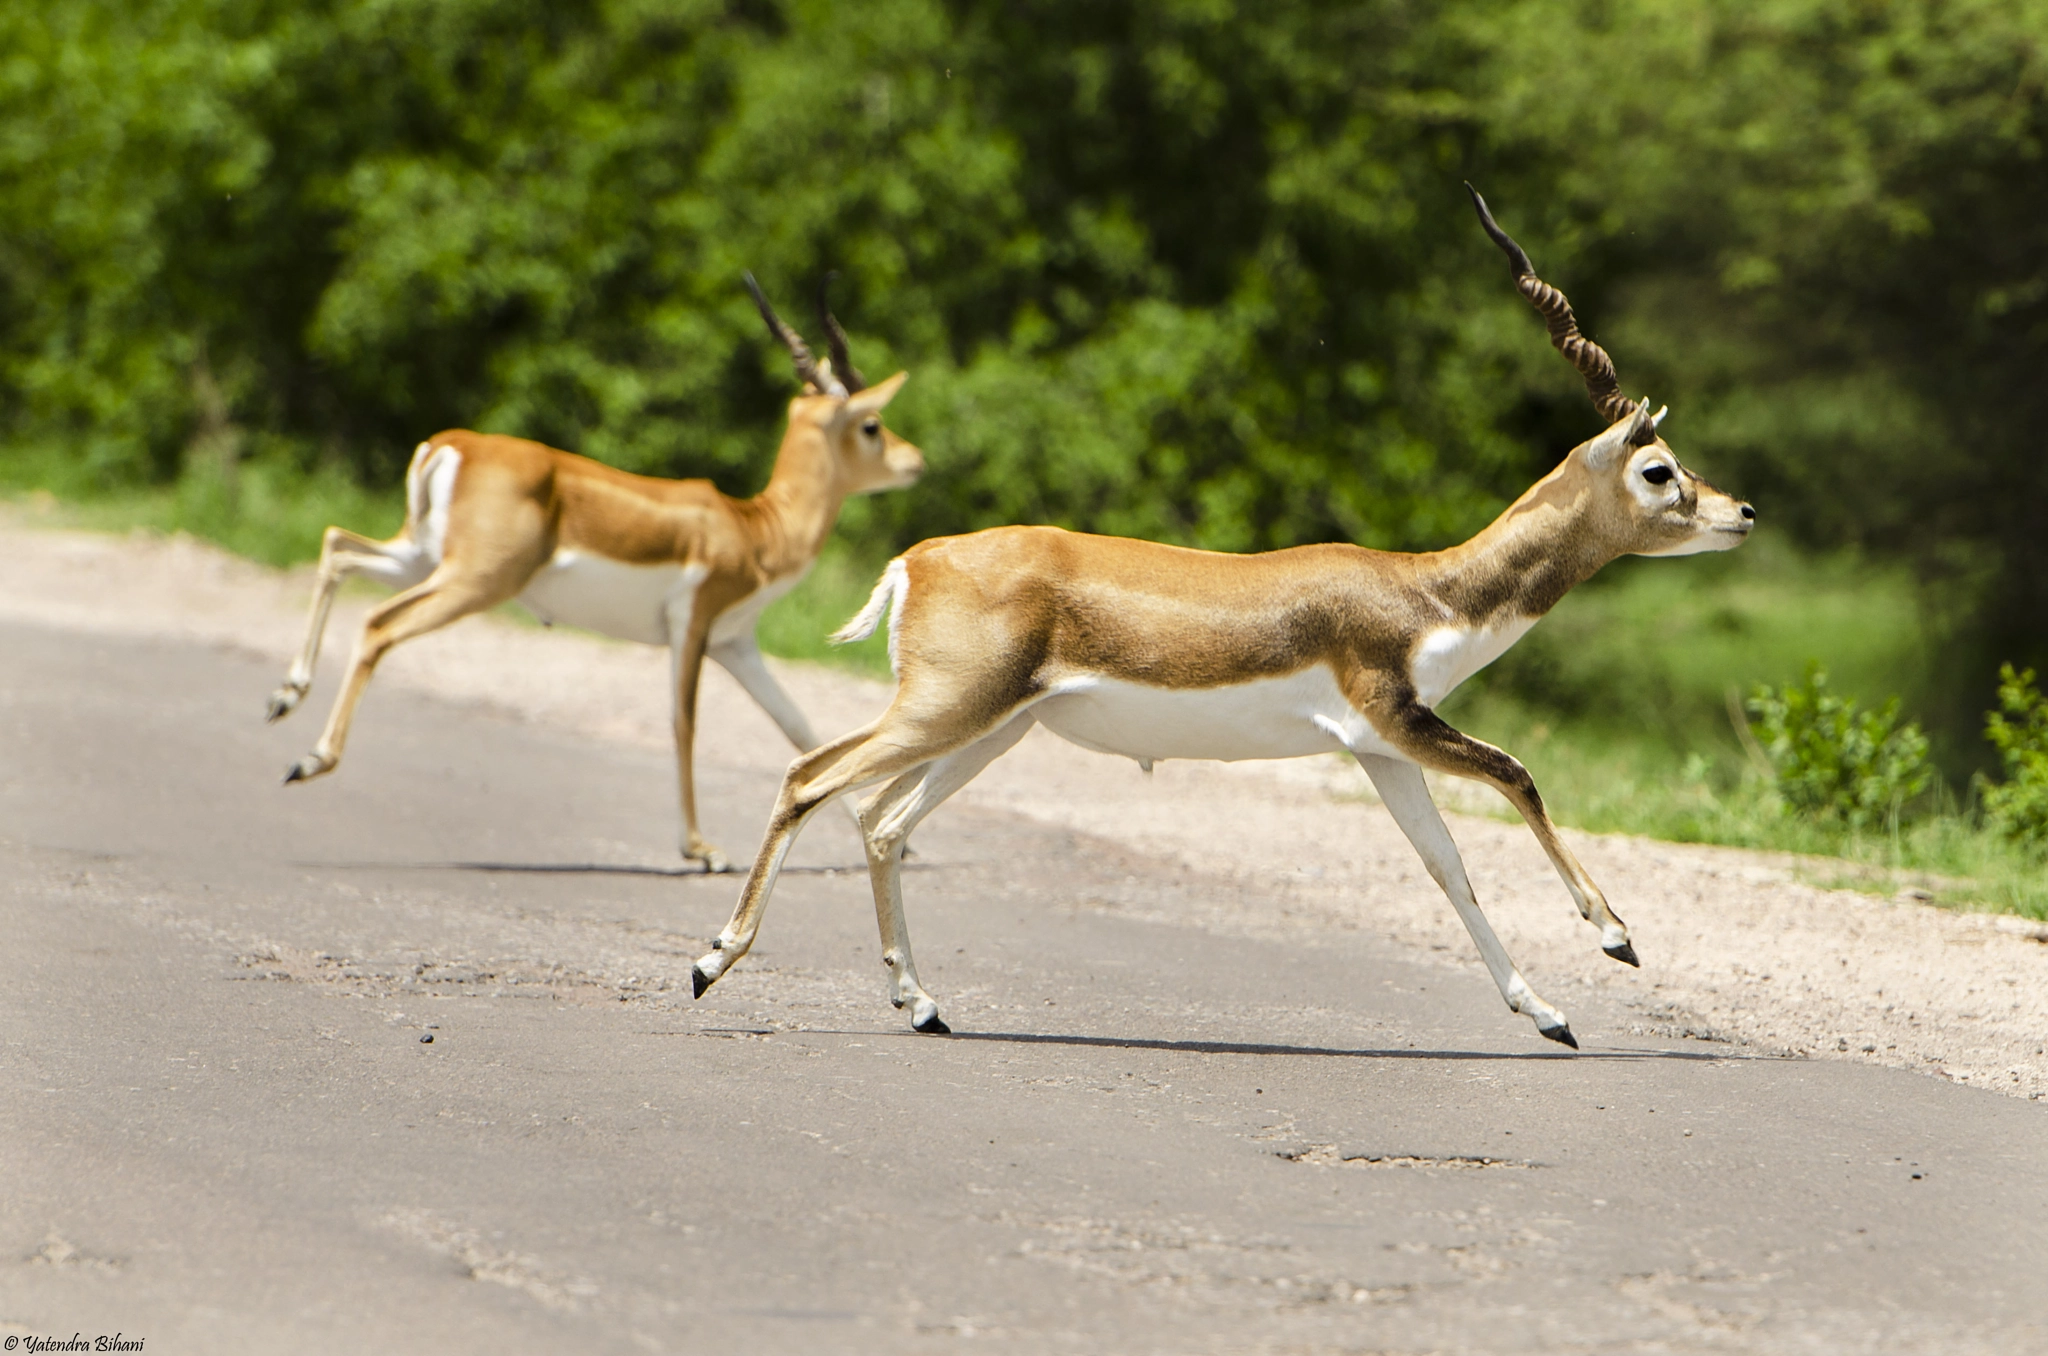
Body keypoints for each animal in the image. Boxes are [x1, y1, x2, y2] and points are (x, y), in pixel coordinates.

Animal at [264, 276, 923, 872]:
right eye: (871, 425)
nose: (915, 460)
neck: (755, 528)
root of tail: (452, 445)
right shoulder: (693, 624)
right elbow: (685, 723)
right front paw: (701, 850)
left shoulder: (736, 643)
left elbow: (799, 726)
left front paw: (902, 842)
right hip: (475, 581)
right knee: (378, 624)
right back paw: (310, 759)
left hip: (421, 560)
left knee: (337, 548)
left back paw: (284, 697)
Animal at [686, 188, 1755, 1046]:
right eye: (1659, 471)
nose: (1741, 512)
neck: (1429, 588)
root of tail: (917, 559)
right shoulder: (1397, 717)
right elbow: (1518, 774)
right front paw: (1616, 938)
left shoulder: (1381, 749)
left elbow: (1449, 869)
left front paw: (1548, 1014)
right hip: (948, 709)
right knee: (810, 777)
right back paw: (710, 962)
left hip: (993, 726)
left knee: (879, 818)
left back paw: (923, 1004)